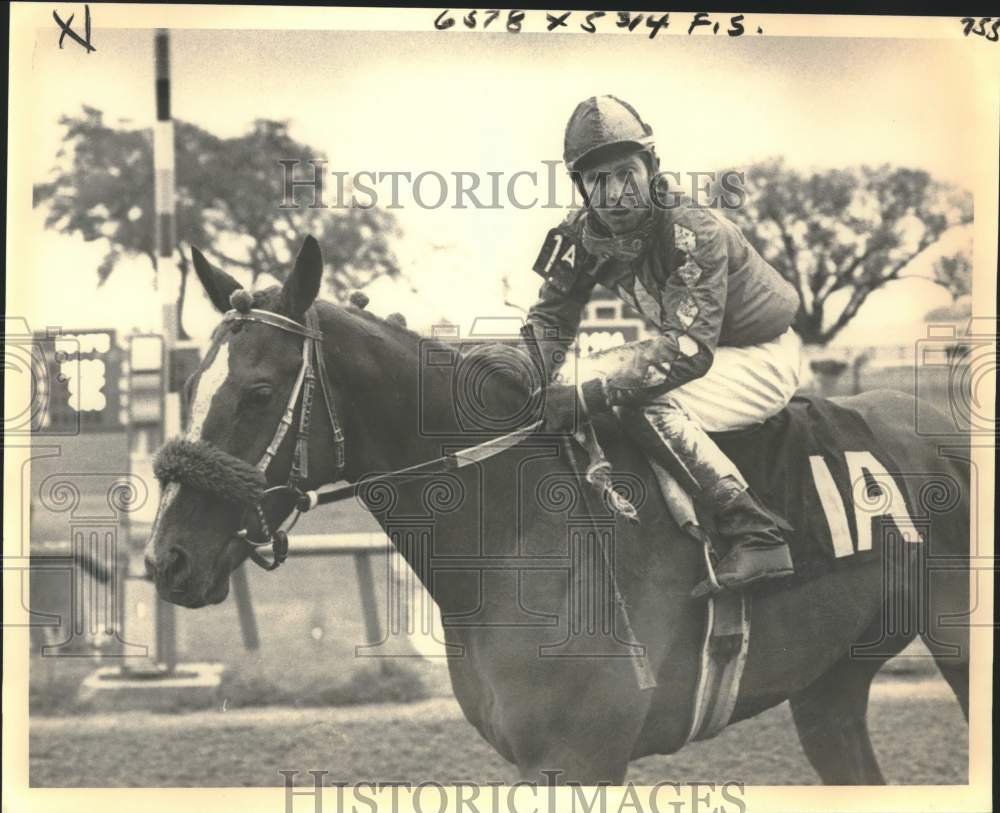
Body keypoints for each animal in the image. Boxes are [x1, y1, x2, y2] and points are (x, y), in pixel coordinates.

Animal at [145, 236, 972, 788]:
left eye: (257, 393)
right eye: (184, 387)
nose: (165, 558)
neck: (517, 530)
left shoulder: (582, 759)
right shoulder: (535, 761)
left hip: (959, 650)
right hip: (830, 684)